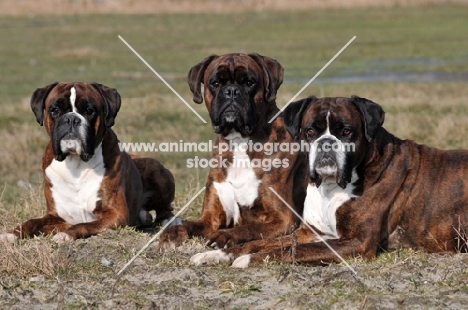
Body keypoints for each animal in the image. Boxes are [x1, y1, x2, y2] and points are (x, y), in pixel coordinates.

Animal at [0, 82, 179, 245]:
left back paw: (169, 221)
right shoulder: (56, 217)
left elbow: (84, 225)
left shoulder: (115, 215)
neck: (76, 163)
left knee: (165, 209)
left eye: (89, 111)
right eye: (54, 110)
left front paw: (66, 235)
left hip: (156, 170)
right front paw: (11, 234)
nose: (71, 119)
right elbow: (31, 222)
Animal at [159, 53, 308, 252]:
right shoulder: (210, 218)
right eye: (215, 83)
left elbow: (249, 228)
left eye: (249, 82)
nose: (231, 91)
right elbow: (188, 224)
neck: (239, 142)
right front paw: (171, 233)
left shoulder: (283, 220)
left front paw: (224, 235)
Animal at [189, 95, 468, 268]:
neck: (331, 187)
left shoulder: (357, 242)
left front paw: (248, 259)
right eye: (310, 132)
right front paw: (216, 253)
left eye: (347, 132)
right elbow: (259, 242)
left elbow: (289, 251)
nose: (326, 142)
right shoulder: (310, 232)